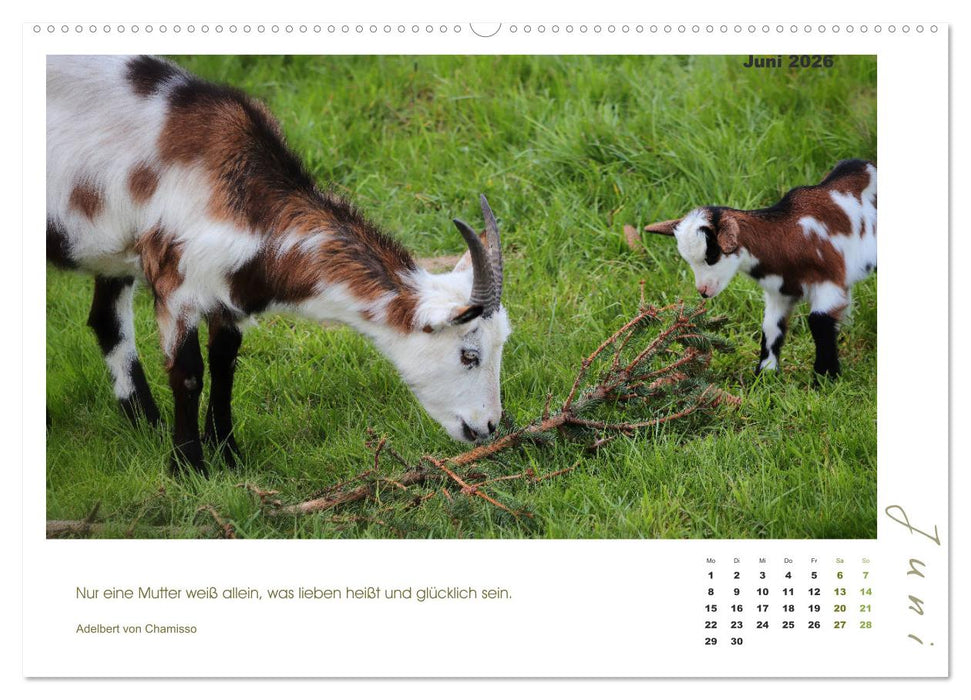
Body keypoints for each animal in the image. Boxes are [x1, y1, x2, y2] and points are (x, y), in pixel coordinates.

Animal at [46, 55, 512, 473]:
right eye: (469, 354)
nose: (488, 426)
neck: (228, 188)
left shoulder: (224, 291)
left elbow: (225, 365)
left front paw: (229, 457)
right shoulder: (174, 283)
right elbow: (189, 373)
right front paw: (189, 468)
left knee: (106, 320)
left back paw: (146, 426)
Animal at [644, 160, 876, 379]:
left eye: (712, 255)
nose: (703, 291)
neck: (788, 234)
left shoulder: (829, 282)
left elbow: (819, 322)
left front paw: (825, 376)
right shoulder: (779, 292)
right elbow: (771, 327)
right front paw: (765, 374)